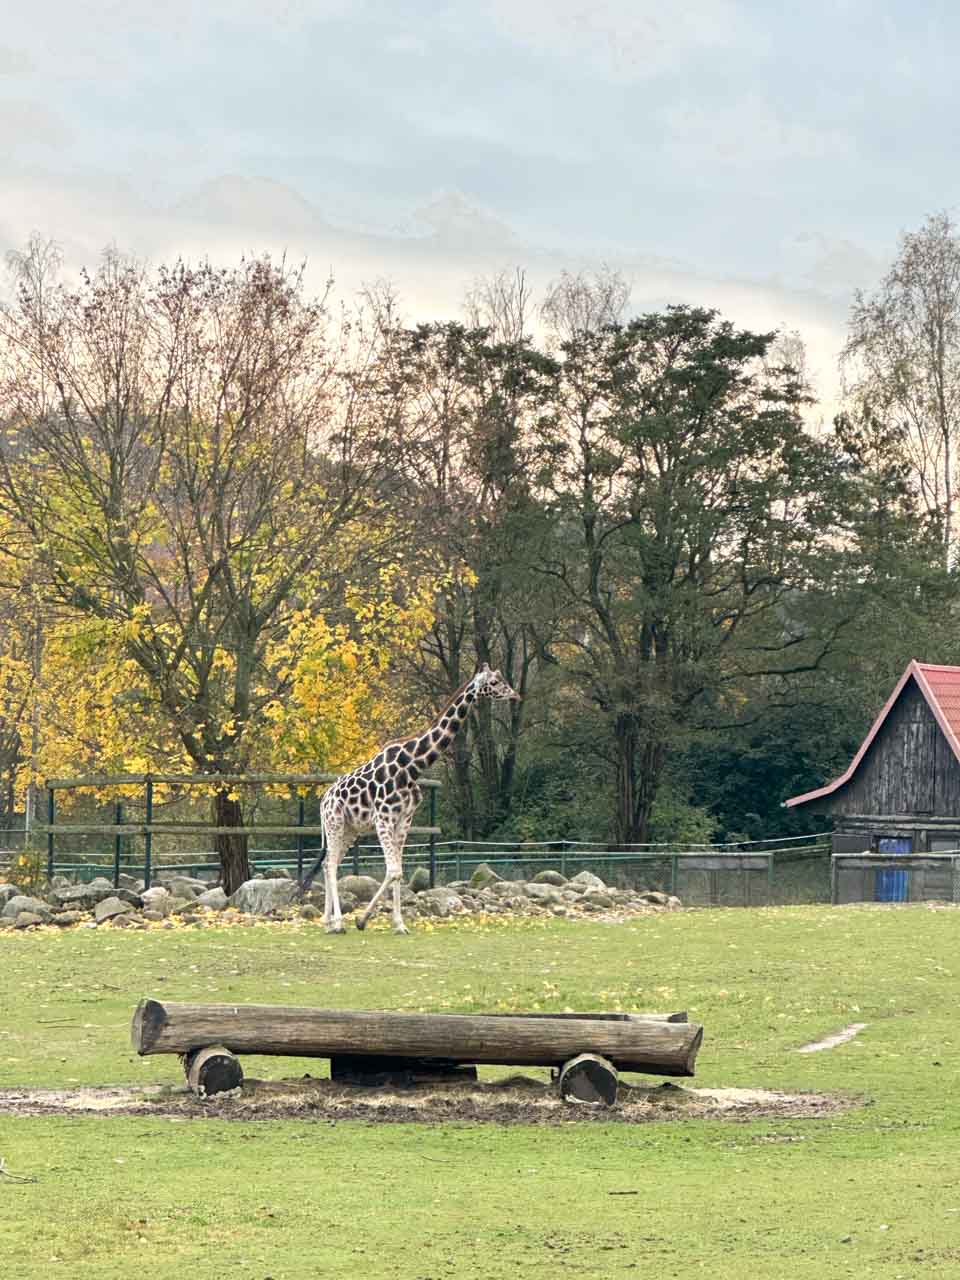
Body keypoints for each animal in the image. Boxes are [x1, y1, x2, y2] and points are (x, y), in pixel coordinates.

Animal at [300, 664, 521, 934]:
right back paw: (338, 923)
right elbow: (394, 870)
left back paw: (327, 921)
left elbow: (398, 871)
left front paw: (397, 924)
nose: (515, 695)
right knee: (330, 865)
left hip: (350, 830)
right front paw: (362, 919)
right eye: (495, 681)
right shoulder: (383, 818)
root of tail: (323, 800)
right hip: (335, 823)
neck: (411, 766)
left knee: (327, 863)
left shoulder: (404, 818)